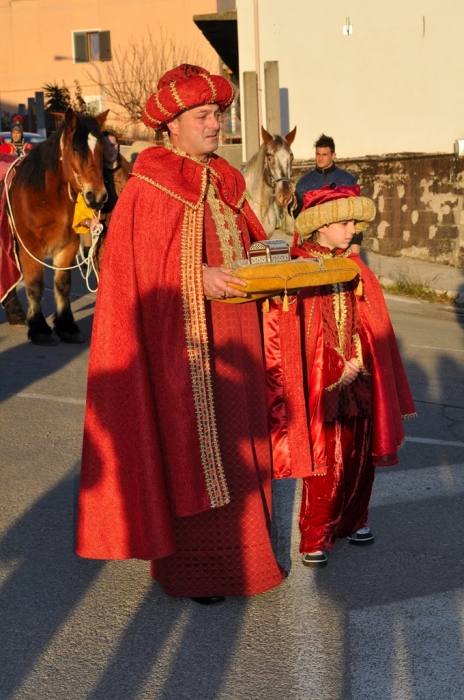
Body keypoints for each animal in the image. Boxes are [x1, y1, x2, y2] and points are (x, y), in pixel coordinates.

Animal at [2, 108, 108, 344]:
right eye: (76, 149)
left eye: (101, 148)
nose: (97, 196)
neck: (47, 196)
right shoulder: (30, 247)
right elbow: (35, 285)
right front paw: (39, 328)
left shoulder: (67, 245)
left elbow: (62, 285)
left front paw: (66, 326)